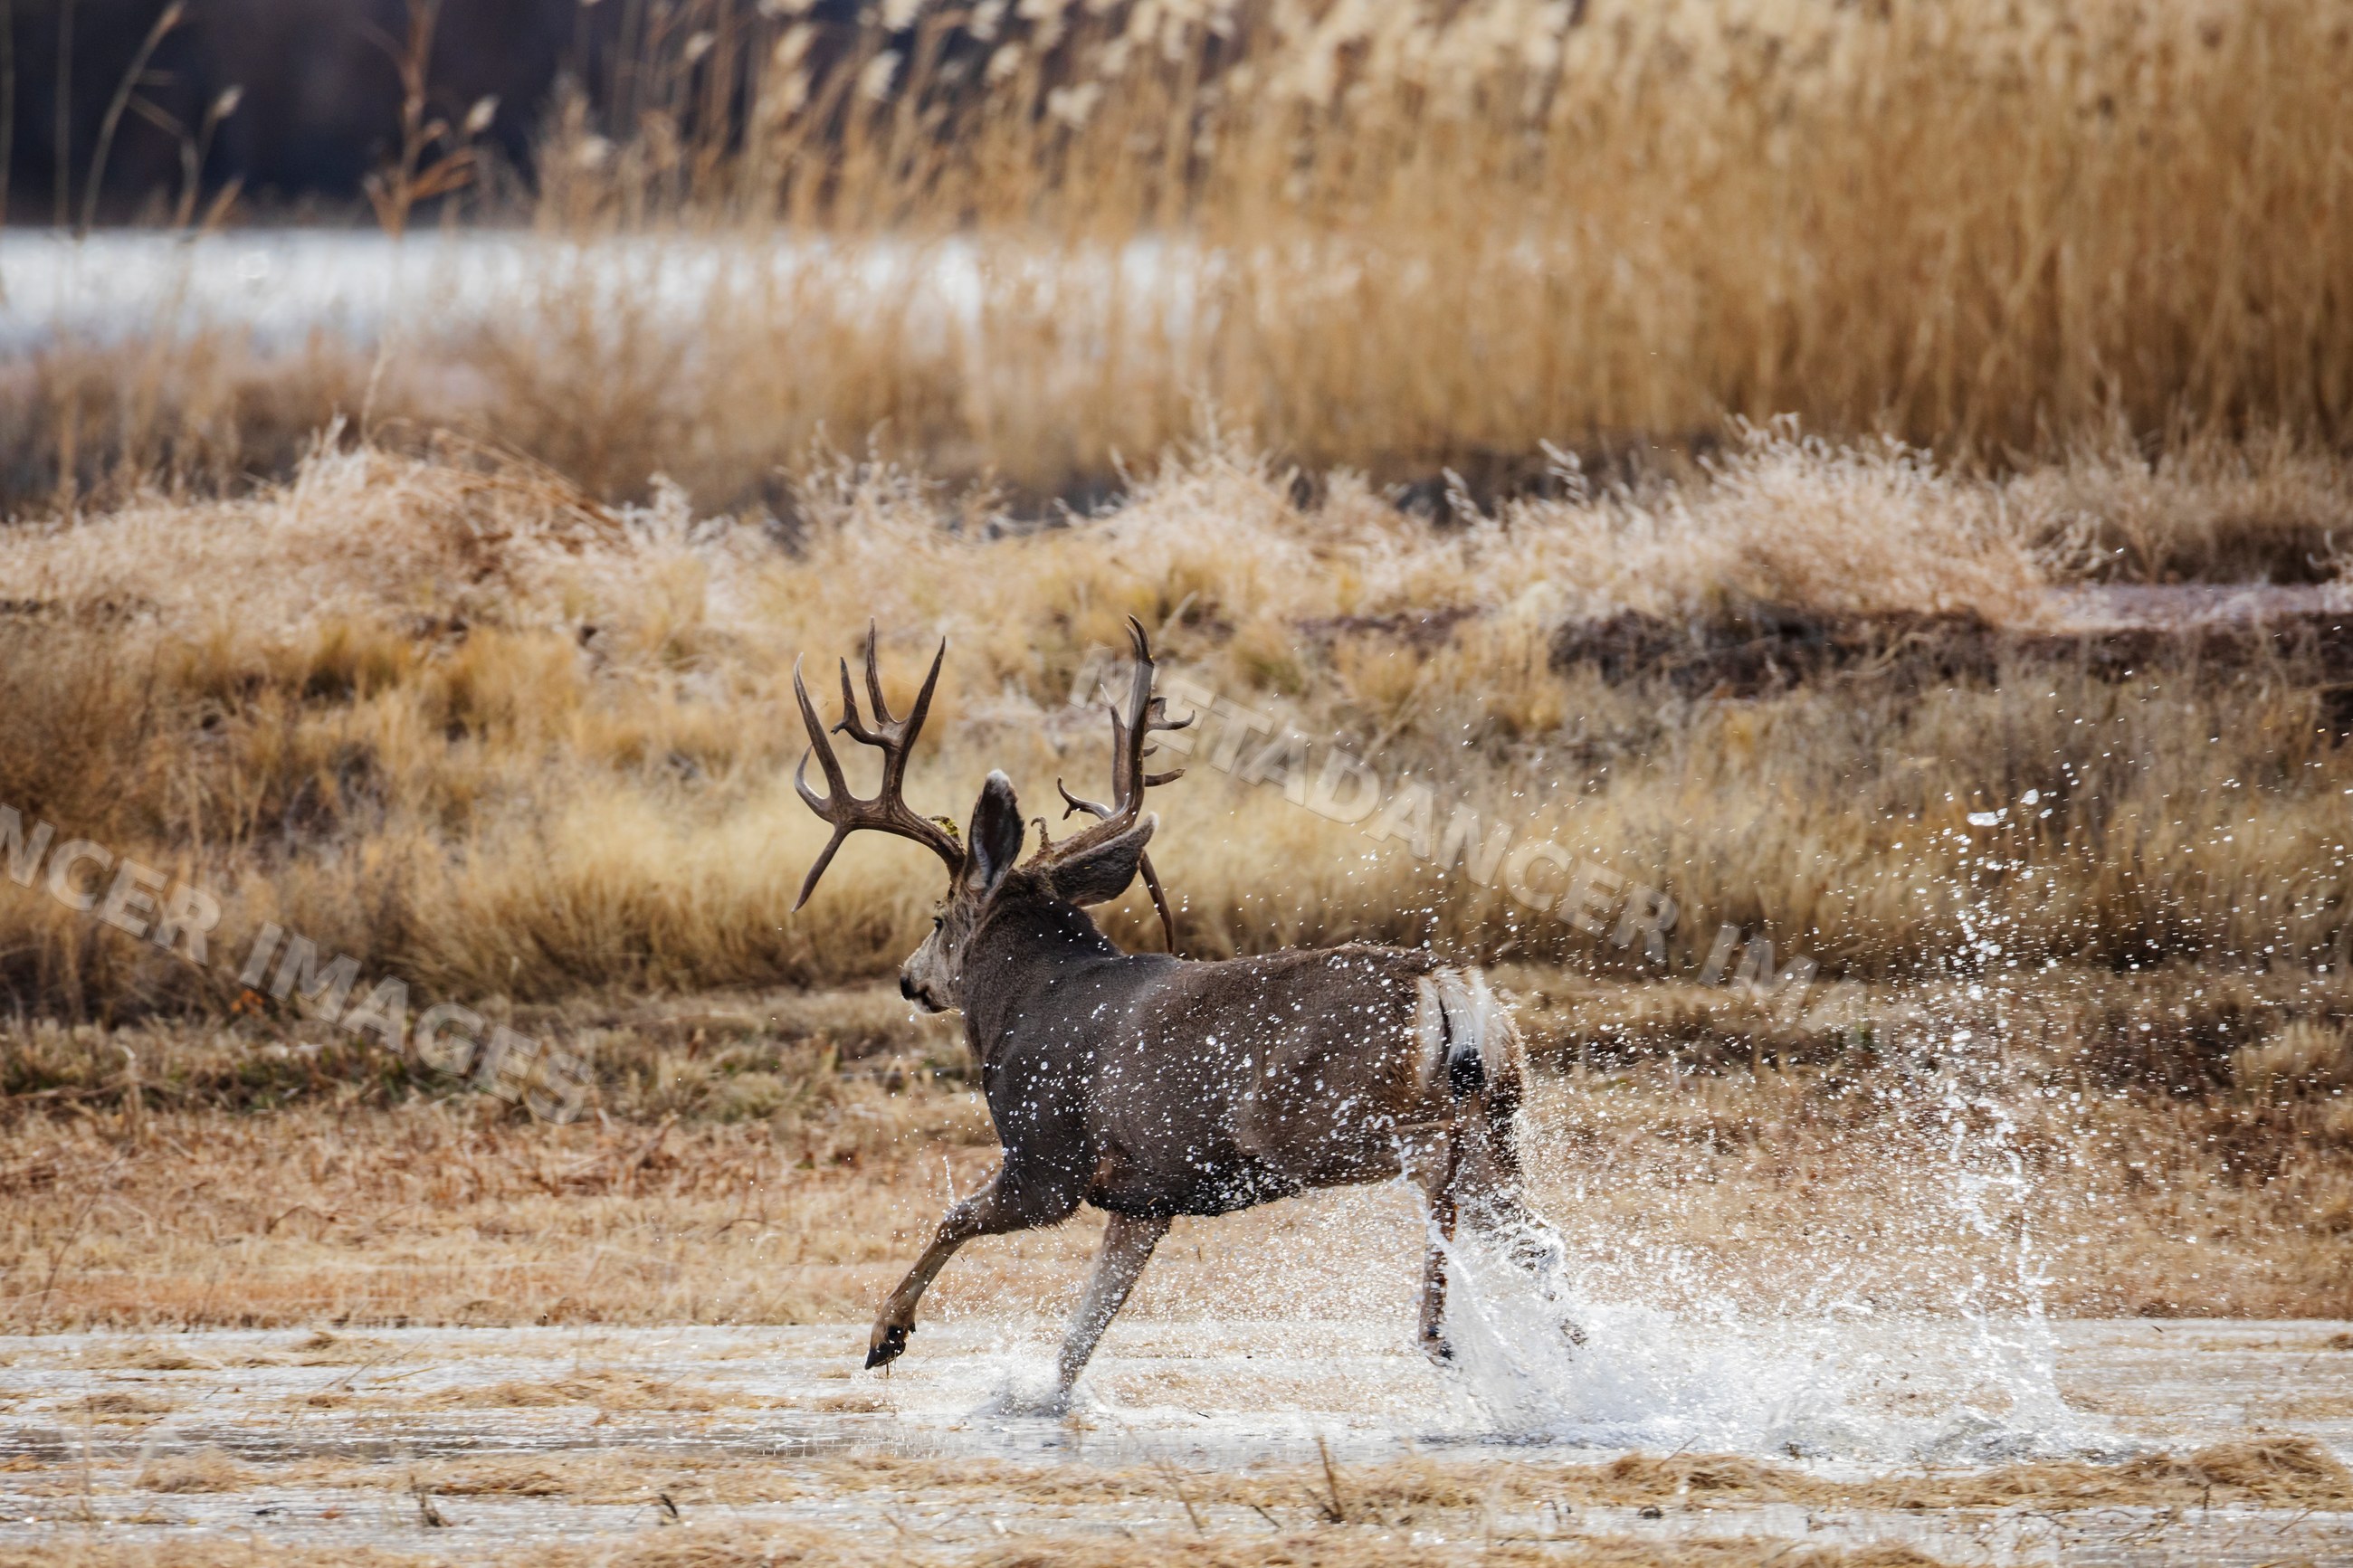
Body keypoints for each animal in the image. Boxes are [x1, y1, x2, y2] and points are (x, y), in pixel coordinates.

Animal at [790, 619, 1572, 1402]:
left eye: (938, 915)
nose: (908, 979)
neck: (1026, 1001)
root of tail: (1446, 982)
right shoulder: (1146, 1197)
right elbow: (1079, 1339)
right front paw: (1040, 1401)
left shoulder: (1048, 1159)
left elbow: (953, 1218)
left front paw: (885, 1335)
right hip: (1497, 1118)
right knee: (1541, 1236)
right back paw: (1579, 1357)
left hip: (1315, 1121)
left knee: (1440, 1158)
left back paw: (1441, 1332)